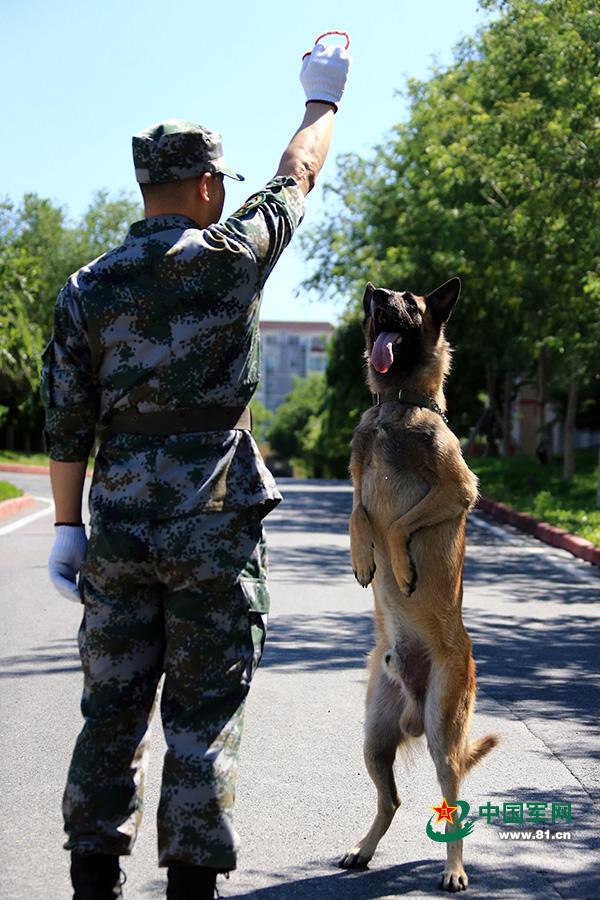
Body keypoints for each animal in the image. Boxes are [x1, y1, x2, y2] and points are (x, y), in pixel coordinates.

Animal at [340, 278, 500, 888]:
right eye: (380, 296)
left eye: (409, 300)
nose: (373, 290)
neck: (397, 406)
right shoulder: (356, 484)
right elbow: (358, 515)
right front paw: (364, 558)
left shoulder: (459, 489)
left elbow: (396, 526)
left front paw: (399, 567)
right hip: (373, 737)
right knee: (391, 801)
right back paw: (362, 849)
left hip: (441, 734)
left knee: (452, 805)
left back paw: (454, 870)